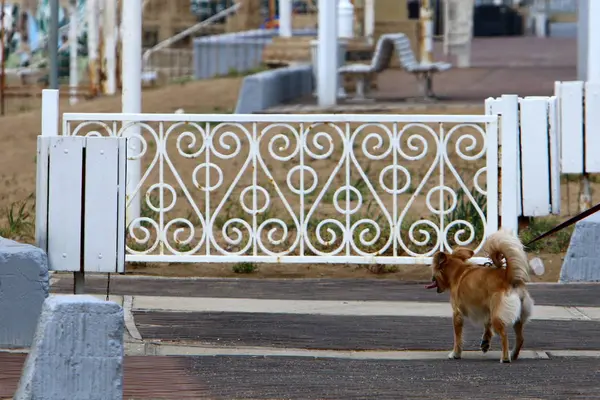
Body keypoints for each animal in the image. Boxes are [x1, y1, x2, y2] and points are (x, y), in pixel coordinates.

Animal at [426, 228, 536, 362]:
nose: (430, 277)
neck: (457, 271)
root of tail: (508, 277)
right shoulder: (487, 309)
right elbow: (486, 326)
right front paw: (485, 342)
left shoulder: (457, 314)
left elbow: (457, 337)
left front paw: (455, 354)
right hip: (517, 317)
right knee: (520, 338)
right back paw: (513, 355)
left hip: (497, 317)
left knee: (504, 335)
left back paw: (505, 357)